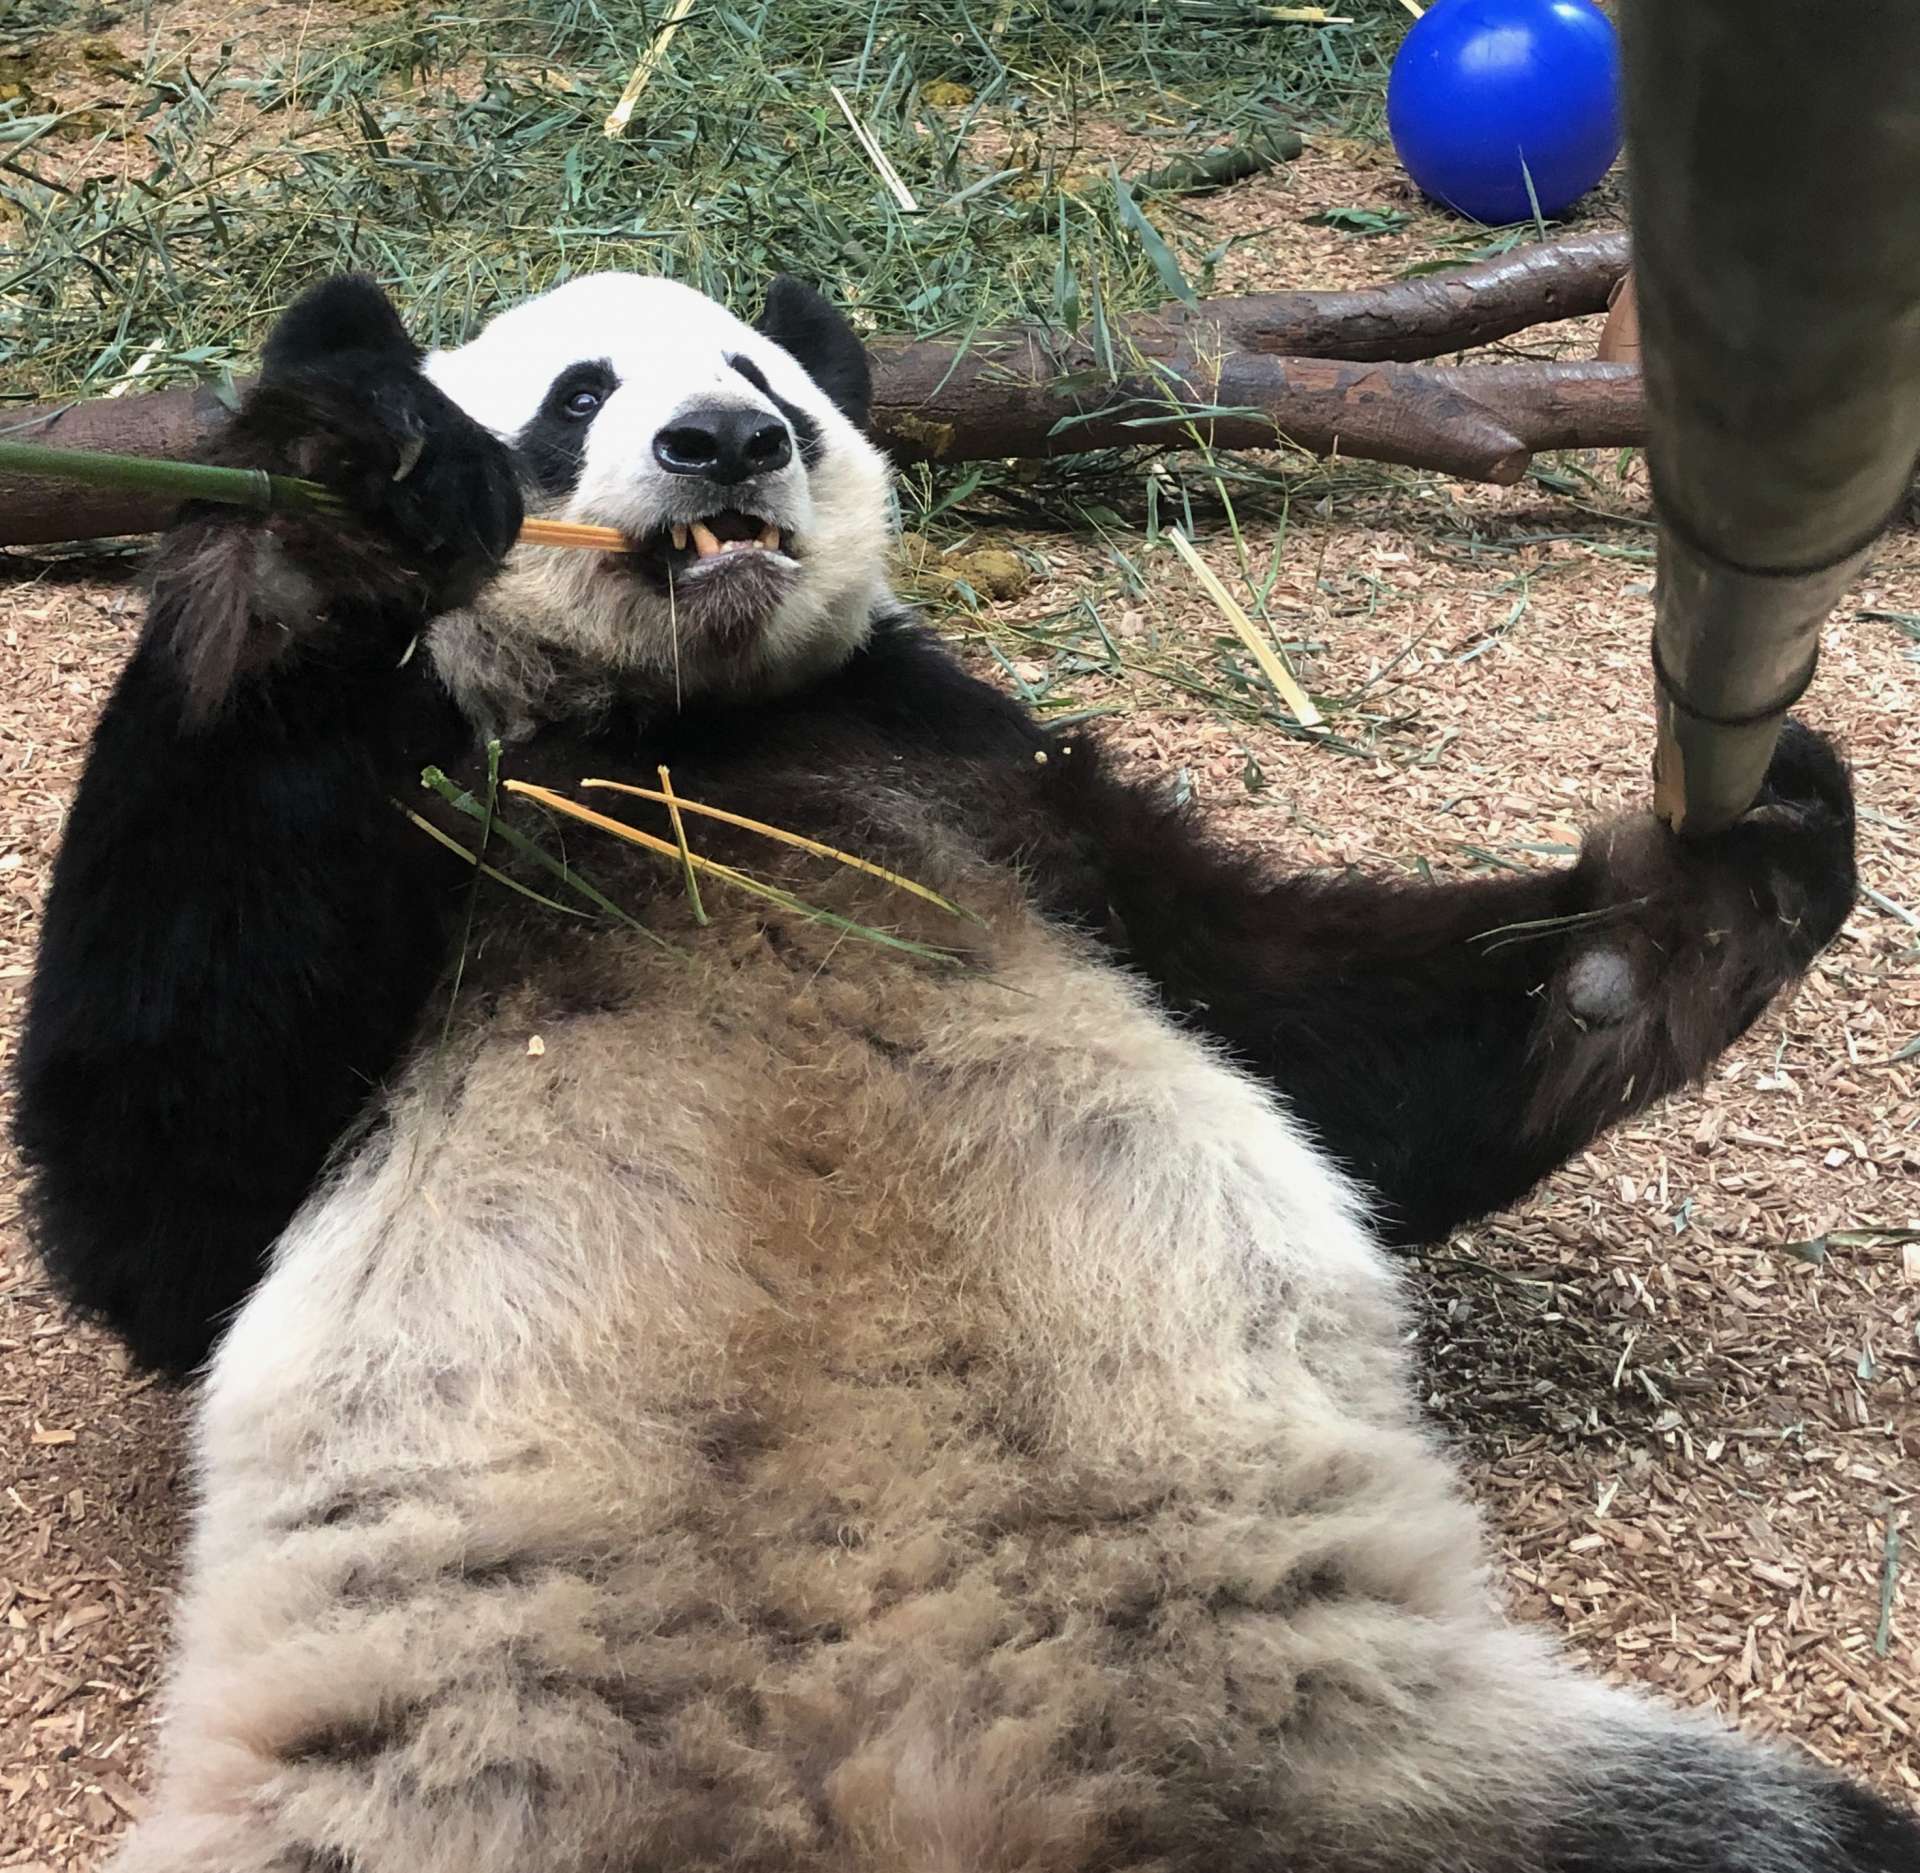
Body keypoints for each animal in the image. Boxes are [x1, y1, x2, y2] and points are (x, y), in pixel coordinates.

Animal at [12, 268, 1913, 1873]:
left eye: (764, 375)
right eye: (577, 396)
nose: (728, 444)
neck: (686, 734)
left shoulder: (986, 786)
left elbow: (1321, 1050)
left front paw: (1722, 871)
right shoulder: (434, 838)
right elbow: (162, 1186)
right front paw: (331, 511)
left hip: (1384, 1763)